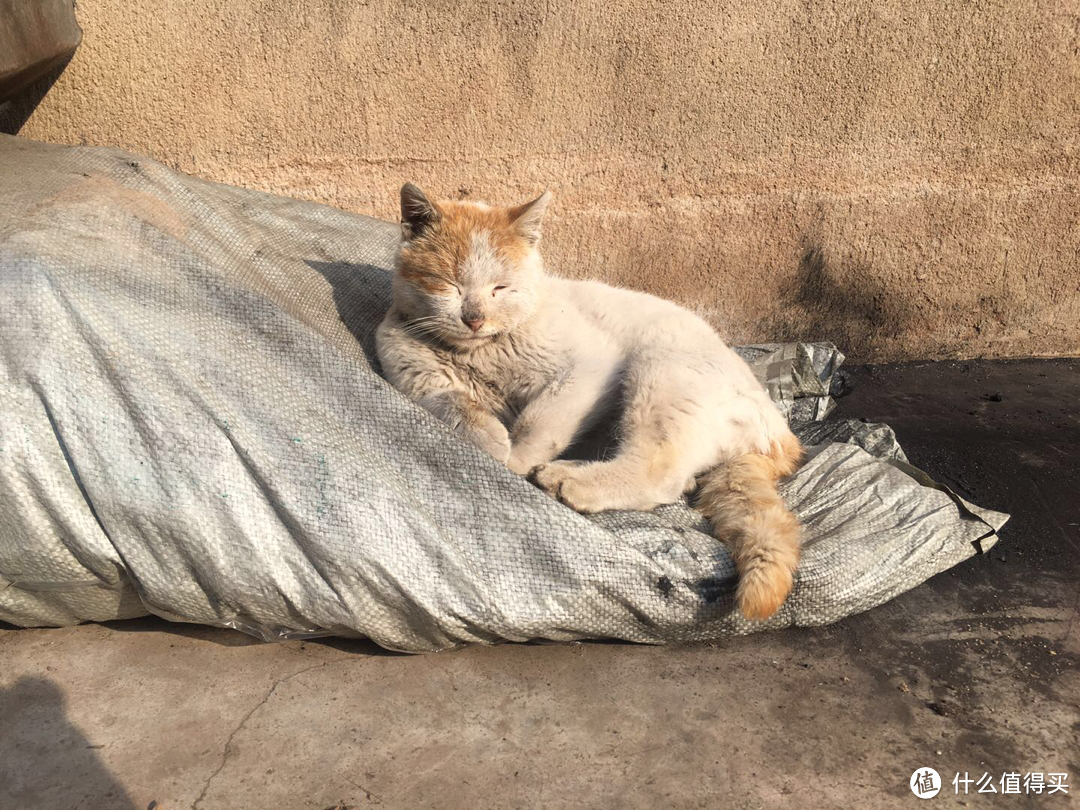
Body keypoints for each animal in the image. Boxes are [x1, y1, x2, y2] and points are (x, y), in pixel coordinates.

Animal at [375, 185, 807, 622]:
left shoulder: (590, 367)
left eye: (501, 288)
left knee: (658, 474)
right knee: (679, 478)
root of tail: (780, 433)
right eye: (448, 284)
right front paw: (489, 439)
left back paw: (569, 482)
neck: (480, 356)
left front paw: (512, 461)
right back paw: (563, 470)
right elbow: (455, 404)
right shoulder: (415, 380)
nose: (474, 318)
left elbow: (538, 421)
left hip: (661, 370)